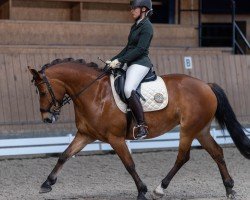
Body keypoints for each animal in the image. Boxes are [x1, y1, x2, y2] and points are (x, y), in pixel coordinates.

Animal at [27, 58, 250, 200]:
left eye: (42, 90)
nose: (47, 118)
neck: (95, 94)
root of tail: (206, 85)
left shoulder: (115, 138)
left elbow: (129, 165)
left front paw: (142, 191)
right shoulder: (85, 135)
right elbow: (64, 155)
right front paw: (47, 183)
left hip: (188, 129)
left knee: (183, 157)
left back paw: (160, 189)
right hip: (201, 129)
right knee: (217, 152)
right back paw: (229, 188)